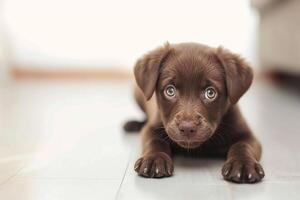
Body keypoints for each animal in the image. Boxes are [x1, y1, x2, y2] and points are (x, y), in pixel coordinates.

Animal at [124, 42, 264, 183]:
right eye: (170, 91)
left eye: (210, 93)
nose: (187, 128)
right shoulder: (152, 128)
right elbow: (155, 141)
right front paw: (154, 159)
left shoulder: (247, 134)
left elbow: (243, 145)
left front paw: (243, 164)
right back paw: (133, 124)